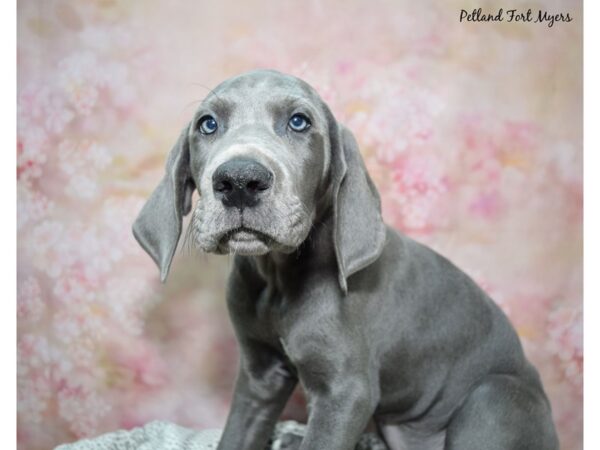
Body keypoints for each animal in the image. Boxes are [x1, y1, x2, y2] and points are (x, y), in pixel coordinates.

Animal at [132, 70, 556, 450]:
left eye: (299, 122)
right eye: (208, 124)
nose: (239, 180)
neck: (279, 279)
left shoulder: (346, 393)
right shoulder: (259, 377)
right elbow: (235, 435)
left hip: (493, 396)